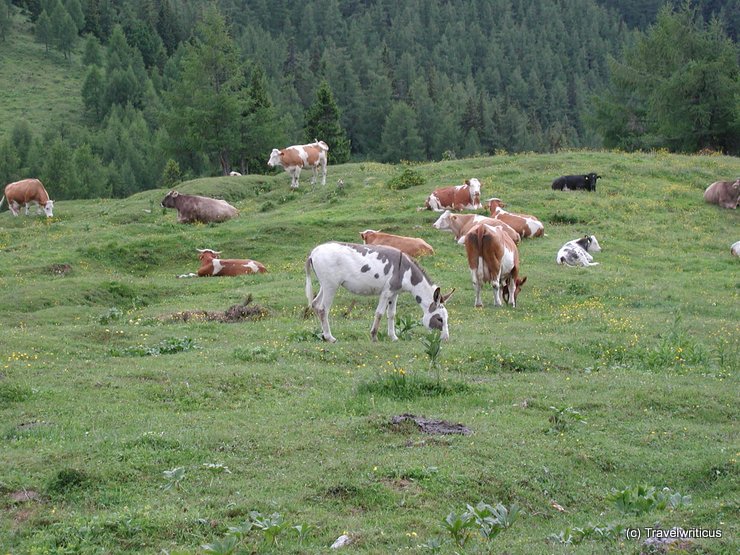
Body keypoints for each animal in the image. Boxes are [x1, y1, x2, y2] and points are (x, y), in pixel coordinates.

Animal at [304, 243, 454, 344]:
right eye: (440, 319)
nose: (446, 339)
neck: (406, 272)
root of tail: (313, 252)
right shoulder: (386, 292)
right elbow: (379, 313)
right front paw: (374, 336)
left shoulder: (394, 294)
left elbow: (391, 314)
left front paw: (393, 337)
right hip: (331, 286)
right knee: (323, 309)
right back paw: (330, 337)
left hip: (325, 285)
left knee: (315, 304)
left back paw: (323, 335)